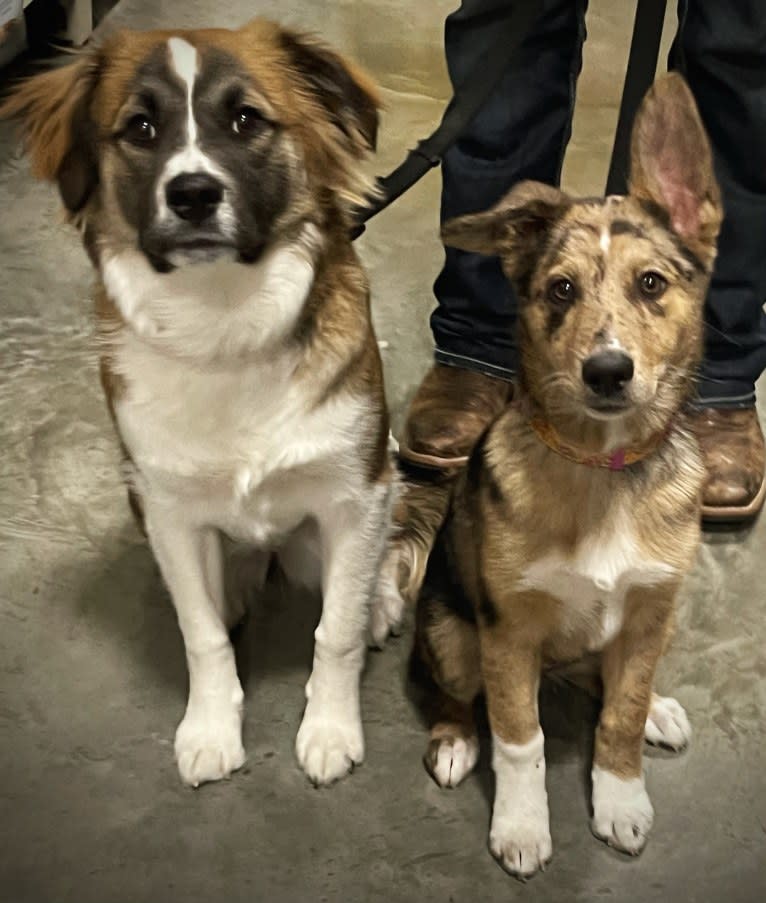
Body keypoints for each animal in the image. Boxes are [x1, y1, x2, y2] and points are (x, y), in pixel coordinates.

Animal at [6, 17, 400, 788]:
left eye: (245, 119)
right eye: (140, 127)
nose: (192, 194)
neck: (224, 321)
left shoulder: (356, 493)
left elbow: (334, 630)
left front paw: (330, 728)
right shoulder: (166, 509)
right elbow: (202, 633)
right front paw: (212, 728)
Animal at [378, 74, 728, 880]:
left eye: (652, 284)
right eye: (561, 291)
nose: (607, 371)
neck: (602, 468)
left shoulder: (650, 610)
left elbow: (620, 716)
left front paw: (622, 796)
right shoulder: (509, 632)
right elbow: (520, 738)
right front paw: (521, 826)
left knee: (612, 683)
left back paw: (656, 706)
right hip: (449, 629)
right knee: (454, 692)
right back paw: (453, 740)